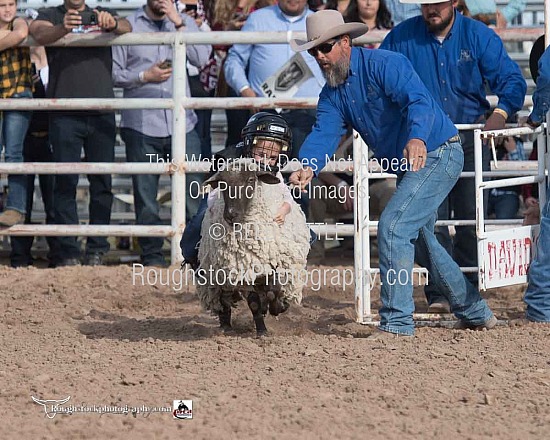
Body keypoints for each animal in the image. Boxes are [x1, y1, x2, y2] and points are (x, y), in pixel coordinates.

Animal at [197, 160, 310, 336]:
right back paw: (226, 326)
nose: (231, 215)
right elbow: (254, 302)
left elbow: (274, 290)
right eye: (222, 184)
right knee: (224, 300)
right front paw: (262, 331)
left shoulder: (274, 265)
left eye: (251, 180)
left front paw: (279, 307)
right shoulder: (244, 271)